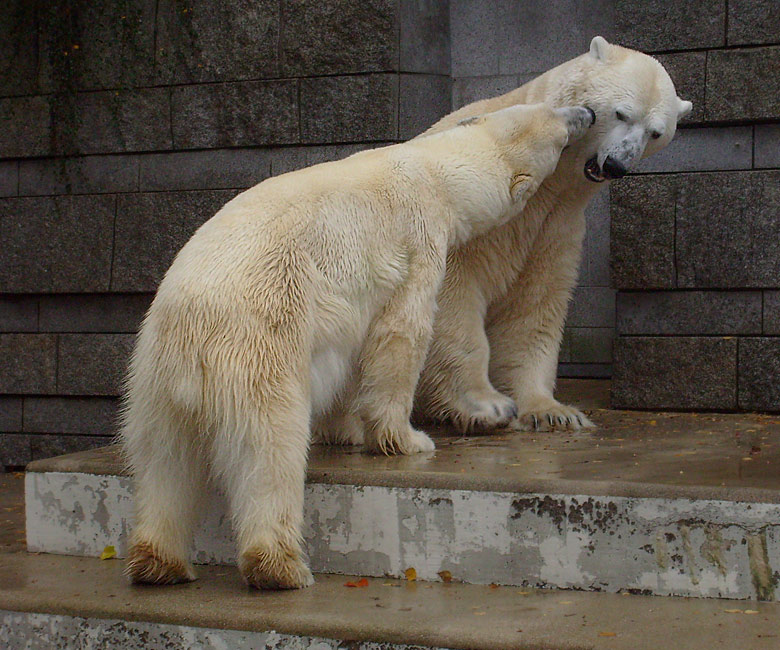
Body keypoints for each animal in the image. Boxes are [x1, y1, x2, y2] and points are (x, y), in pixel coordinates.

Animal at [122, 101, 596, 588]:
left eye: (548, 109)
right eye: (561, 131)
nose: (586, 111)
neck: (431, 170)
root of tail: (192, 333)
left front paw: (344, 431)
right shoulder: (420, 242)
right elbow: (401, 335)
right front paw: (408, 439)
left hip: (152, 376)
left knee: (164, 462)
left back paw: (159, 562)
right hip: (259, 347)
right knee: (269, 452)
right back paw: (280, 567)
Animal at [412, 34, 692, 430]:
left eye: (656, 133)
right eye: (622, 113)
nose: (616, 164)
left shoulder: (554, 226)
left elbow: (535, 303)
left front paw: (551, 412)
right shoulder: (473, 205)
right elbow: (453, 292)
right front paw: (480, 405)